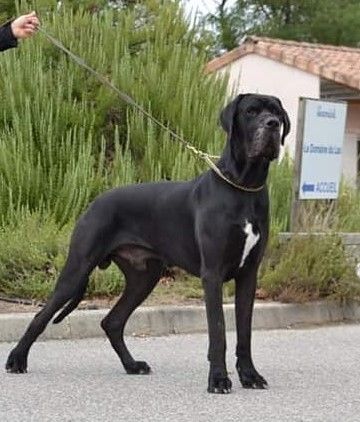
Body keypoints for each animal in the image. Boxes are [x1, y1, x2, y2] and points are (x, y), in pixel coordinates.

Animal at [5, 92, 290, 392]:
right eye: (251, 112)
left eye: (277, 113)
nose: (272, 124)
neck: (243, 187)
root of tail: (94, 202)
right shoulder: (212, 274)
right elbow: (219, 331)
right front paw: (218, 379)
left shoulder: (248, 275)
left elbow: (245, 333)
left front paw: (250, 375)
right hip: (78, 268)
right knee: (42, 315)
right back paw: (17, 360)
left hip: (144, 276)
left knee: (113, 321)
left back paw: (132, 365)